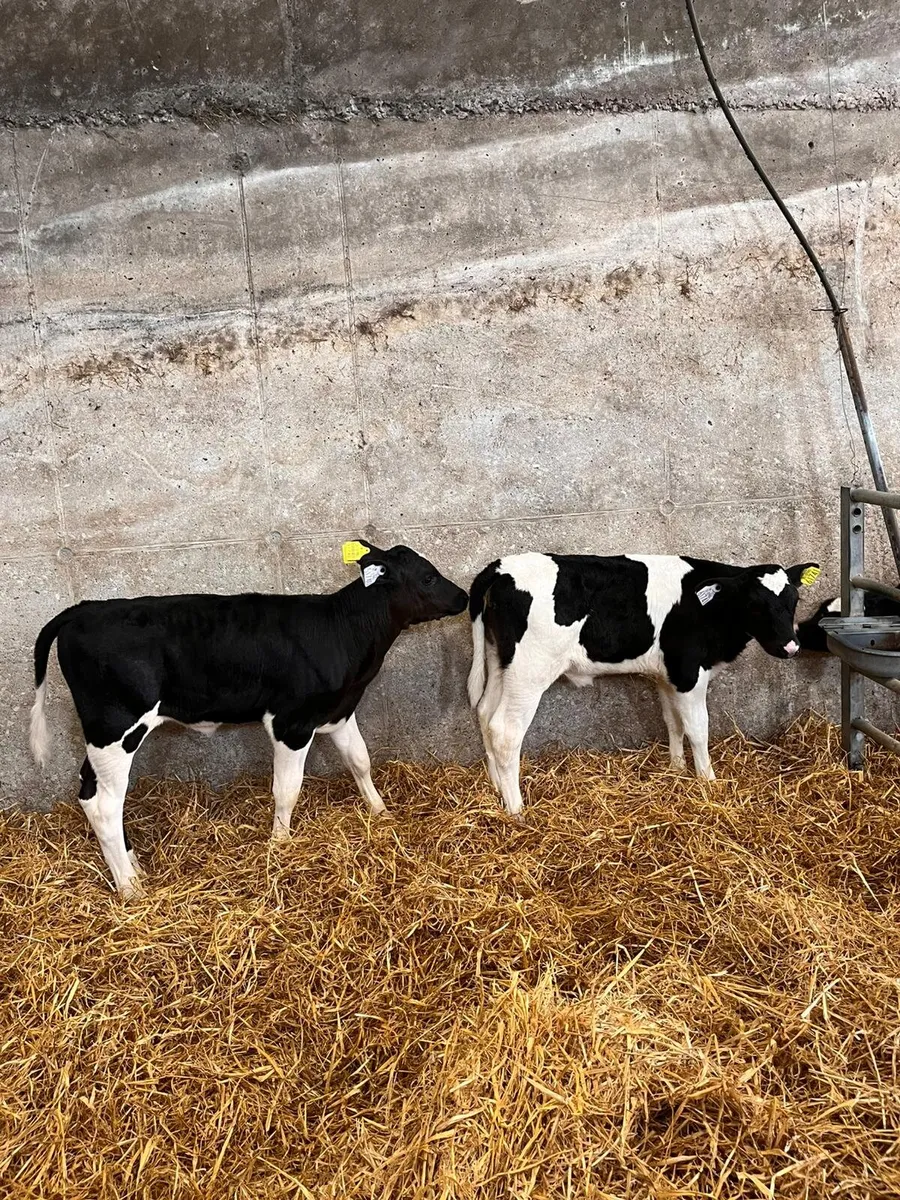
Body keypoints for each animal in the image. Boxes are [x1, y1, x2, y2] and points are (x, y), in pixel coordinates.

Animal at [29, 541, 468, 897]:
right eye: (428, 576)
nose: (463, 596)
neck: (341, 631)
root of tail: (84, 610)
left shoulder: (339, 712)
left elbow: (360, 761)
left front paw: (381, 813)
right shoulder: (291, 723)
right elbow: (287, 788)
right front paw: (280, 845)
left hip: (103, 735)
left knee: (90, 791)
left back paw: (133, 864)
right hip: (117, 727)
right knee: (106, 804)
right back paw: (130, 887)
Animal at [467, 552, 820, 818]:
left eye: (794, 600)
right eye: (754, 604)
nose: (791, 646)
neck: (705, 608)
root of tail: (499, 567)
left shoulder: (667, 676)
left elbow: (673, 722)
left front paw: (676, 770)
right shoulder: (688, 672)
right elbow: (698, 729)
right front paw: (707, 780)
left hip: (500, 660)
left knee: (484, 712)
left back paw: (497, 788)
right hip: (530, 670)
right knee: (505, 730)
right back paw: (516, 808)